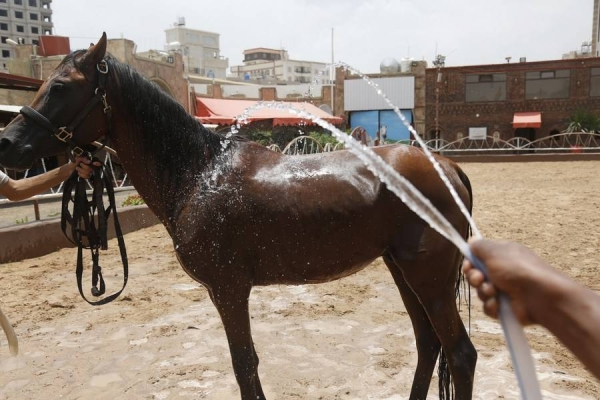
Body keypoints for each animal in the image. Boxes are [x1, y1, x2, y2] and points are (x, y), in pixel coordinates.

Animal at [0, 32, 478, 398]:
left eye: (61, 87)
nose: (7, 143)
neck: (199, 172)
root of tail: (447, 167)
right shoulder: (226, 291)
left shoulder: (228, 290)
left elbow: (243, 364)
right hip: (402, 271)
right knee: (428, 345)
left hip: (428, 278)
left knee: (460, 353)